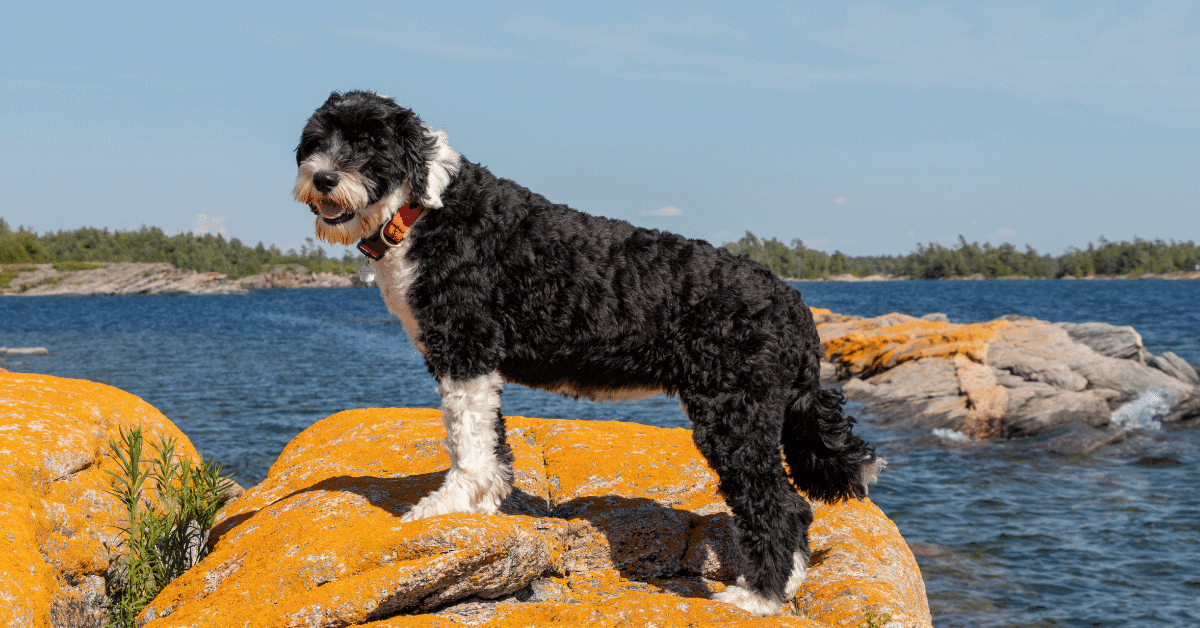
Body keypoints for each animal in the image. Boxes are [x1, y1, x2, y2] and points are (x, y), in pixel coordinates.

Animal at [295, 90, 888, 614]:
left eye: (368, 142)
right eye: (316, 140)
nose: (323, 177)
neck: (424, 211)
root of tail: (792, 301)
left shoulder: (464, 348)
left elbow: (467, 442)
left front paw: (449, 506)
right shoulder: (475, 362)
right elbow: (490, 441)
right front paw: (484, 504)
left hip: (734, 414)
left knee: (779, 506)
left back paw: (757, 597)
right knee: (796, 510)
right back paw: (786, 586)